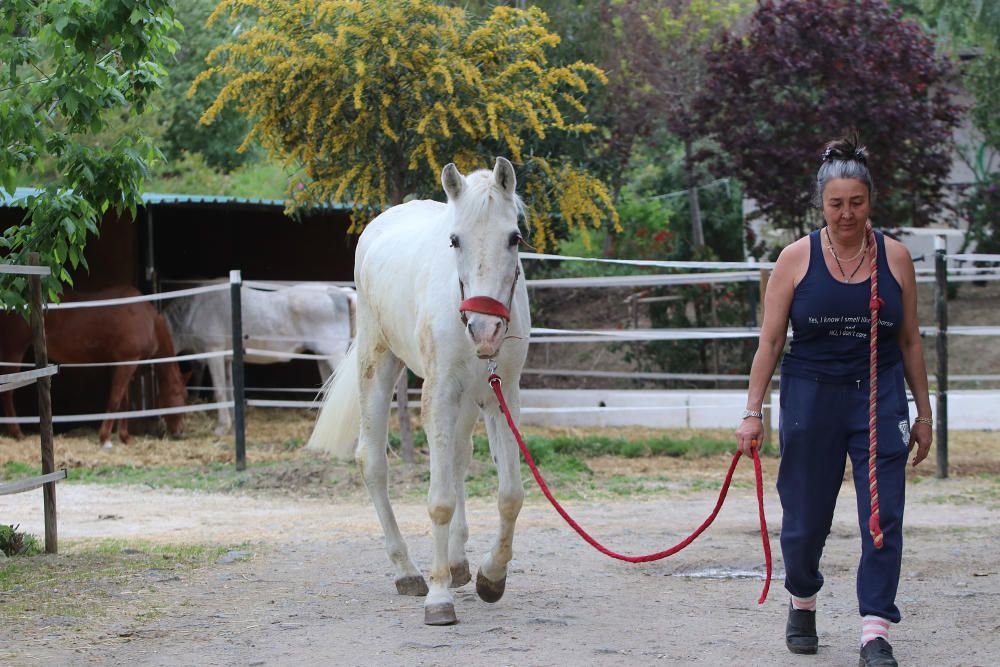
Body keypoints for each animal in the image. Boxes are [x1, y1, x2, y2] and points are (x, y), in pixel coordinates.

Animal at [0, 286, 188, 446]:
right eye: (178, 394)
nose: (179, 431)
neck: (148, 321)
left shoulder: (123, 365)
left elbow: (124, 402)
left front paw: (125, 437)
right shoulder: (127, 364)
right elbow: (115, 400)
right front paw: (104, 438)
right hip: (14, 352)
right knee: (7, 393)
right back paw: (17, 433)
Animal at [168, 284, 360, 436]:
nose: (176, 432)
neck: (194, 311)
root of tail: (342, 293)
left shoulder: (214, 353)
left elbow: (220, 391)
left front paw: (221, 427)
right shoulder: (227, 358)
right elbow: (230, 390)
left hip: (334, 355)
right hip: (323, 357)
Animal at [308, 157, 532, 628]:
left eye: (514, 237)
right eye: (454, 239)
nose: (485, 330)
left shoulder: (502, 394)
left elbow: (510, 495)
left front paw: (491, 576)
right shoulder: (440, 393)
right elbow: (440, 500)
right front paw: (439, 595)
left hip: (468, 402)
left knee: (458, 459)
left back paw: (459, 564)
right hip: (377, 365)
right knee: (373, 463)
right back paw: (408, 572)